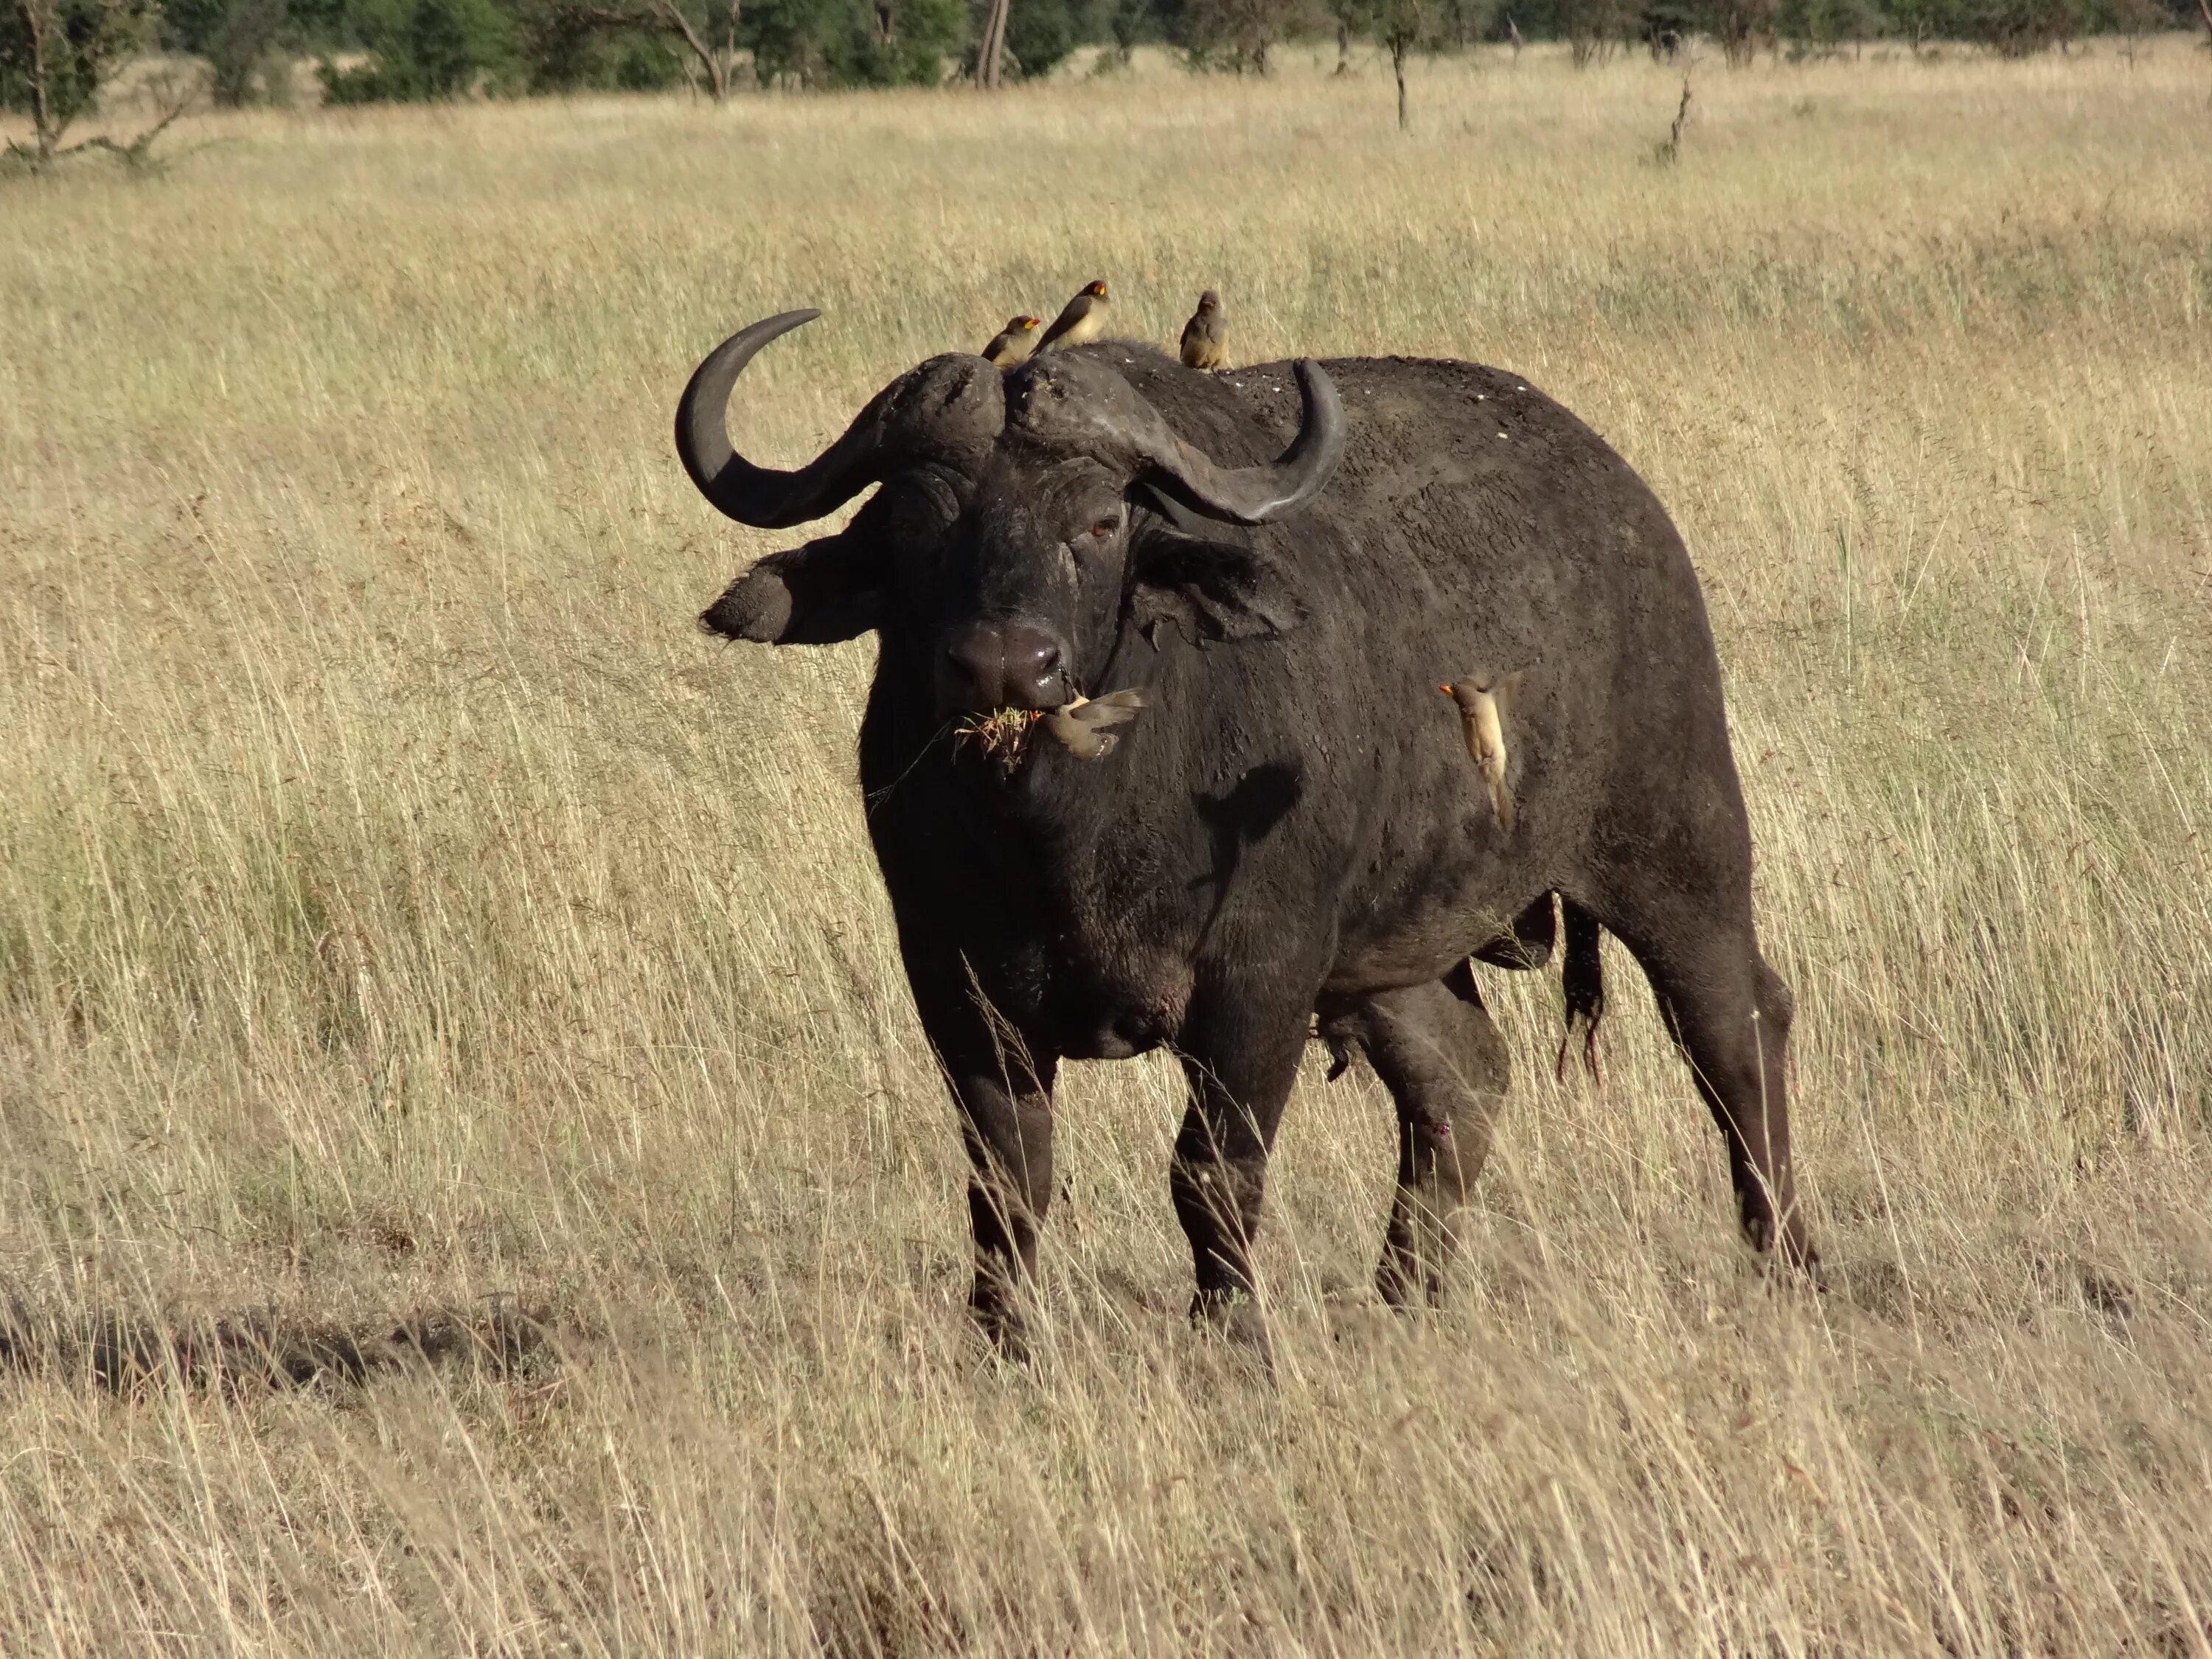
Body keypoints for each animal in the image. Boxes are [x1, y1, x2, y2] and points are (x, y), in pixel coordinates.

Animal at [677, 310, 1814, 1354]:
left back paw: (1785, 1256)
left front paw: (1230, 1339)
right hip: (1393, 953)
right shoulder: (953, 977)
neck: (1062, 832)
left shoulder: (1261, 973)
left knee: (1735, 1027)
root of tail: (1624, 501)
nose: (1006, 666)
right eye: (916, 520)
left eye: (1100, 521)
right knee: (1464, 1076)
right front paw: (1002, 1344)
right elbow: (1008, 1177)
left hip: (1675, 842)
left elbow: (1212, 1172)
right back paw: (1402, 1296)